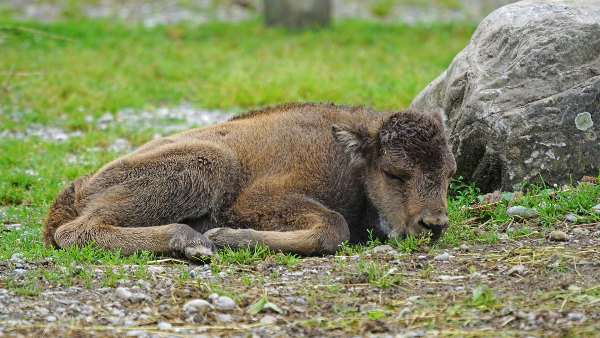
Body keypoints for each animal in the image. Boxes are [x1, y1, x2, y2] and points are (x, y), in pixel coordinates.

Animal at [43, 102, 454, 258]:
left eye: (450, 173)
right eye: (392, 172)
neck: (348, 157)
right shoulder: (259, 200)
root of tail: (80, 186)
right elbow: (333, 226)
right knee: (77, 230)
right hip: (208, 166)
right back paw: (194, 242)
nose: (433, 225)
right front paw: (222, 236)